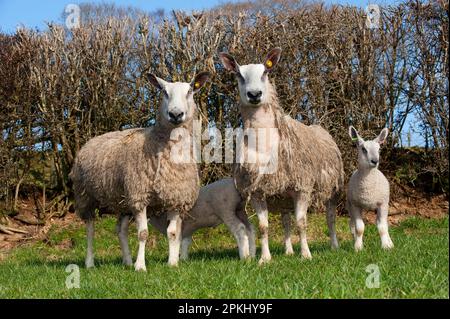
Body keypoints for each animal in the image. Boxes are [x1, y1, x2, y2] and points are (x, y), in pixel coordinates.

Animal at [70, 71, 211, 272]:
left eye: (190, 91)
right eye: (164, 92)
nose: (176, 114)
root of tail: (92, 139)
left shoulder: (175, 197)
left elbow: (172, 233)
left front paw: (172, 263)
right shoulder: (140, 197)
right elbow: (143, 233)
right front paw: (140, 266)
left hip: (123, 199)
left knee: (120, 230)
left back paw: (127, 261)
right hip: (86, 195)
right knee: (90, 228)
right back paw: (90, 263)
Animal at [220, 48, 342, 264]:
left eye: (265, 72)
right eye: (239, 75)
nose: (254, 94)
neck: (263, 144)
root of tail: (320, 128)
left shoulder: (303, 188)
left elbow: (301, 223)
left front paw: (306, 255)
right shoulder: (257, 191)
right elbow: (263, 227)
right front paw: (264, 259)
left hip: (332, 189)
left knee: (330, 218)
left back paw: (334, 246)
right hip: (283, 194)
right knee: (286, 221)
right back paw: (288, 251)